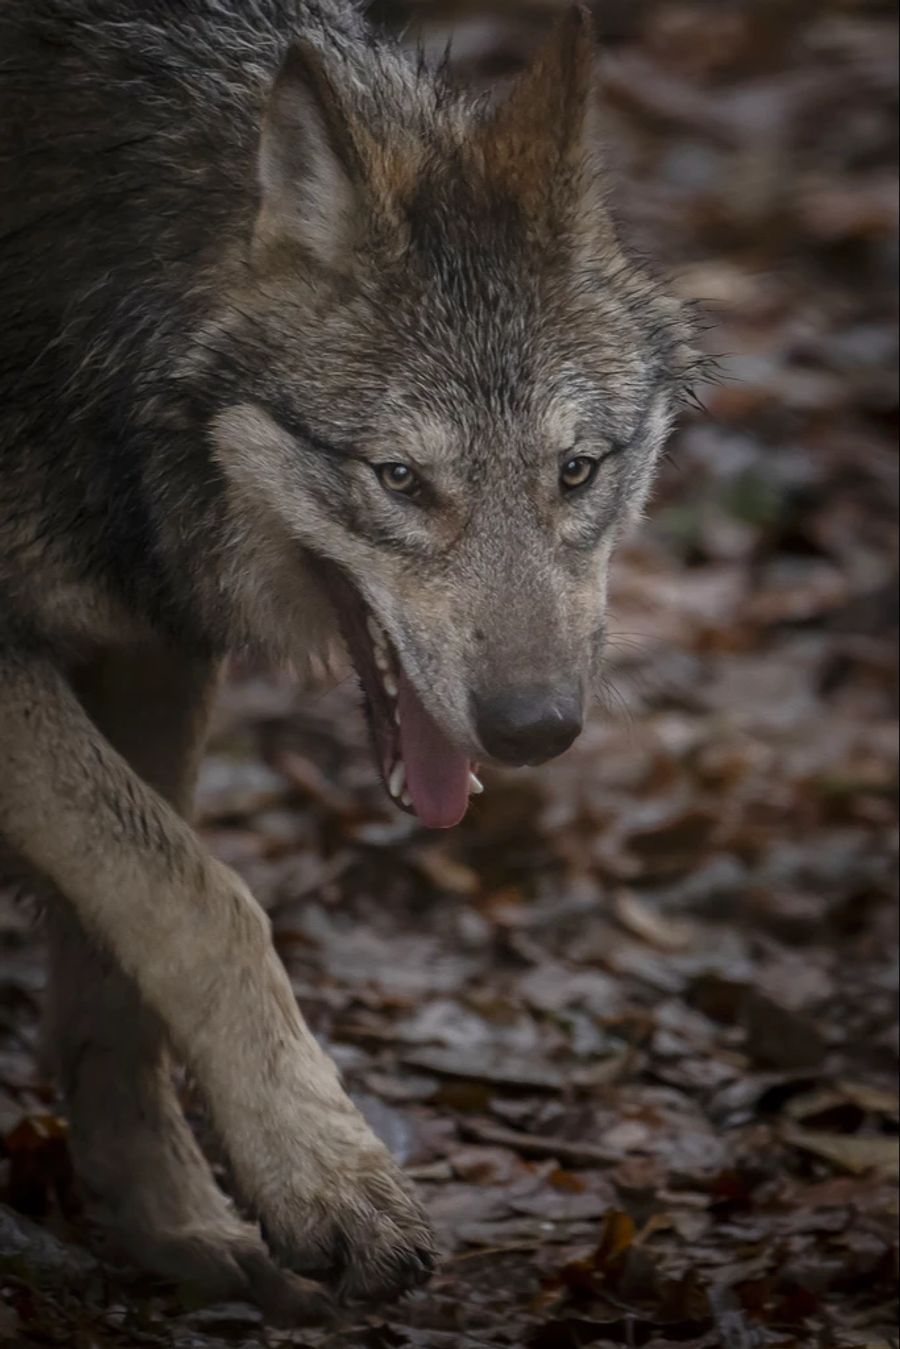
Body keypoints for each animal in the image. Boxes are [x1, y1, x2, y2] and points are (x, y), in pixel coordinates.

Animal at [0, 0, 696, 1316]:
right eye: (401, 478)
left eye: (577, 470)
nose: (536, 727)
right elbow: (200, 895)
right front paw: (329, 1176)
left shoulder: (152, 643)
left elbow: (120, 963)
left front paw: (170, 1218)